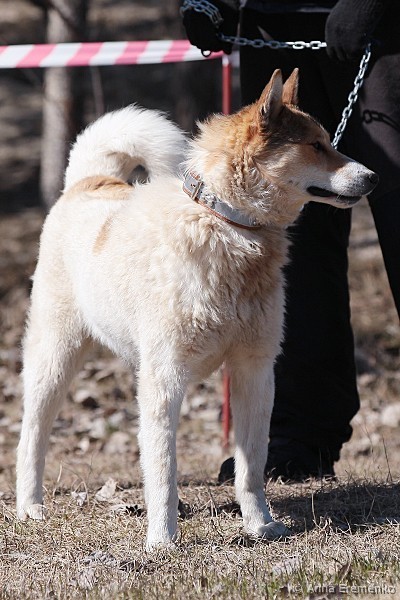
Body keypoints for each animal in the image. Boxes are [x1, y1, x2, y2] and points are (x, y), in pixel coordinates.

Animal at [16, 69, 378, 549]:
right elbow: (163, 471)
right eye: (315, 146)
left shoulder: (255, 371)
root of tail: (87, 183)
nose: (373, 177)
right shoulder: (164, 380)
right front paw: (162, 539)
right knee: (31, 436)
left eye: (327, 142)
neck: (228, 225)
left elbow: (251, 468)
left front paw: (259, 525)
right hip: (54, 361)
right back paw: (30, 507)